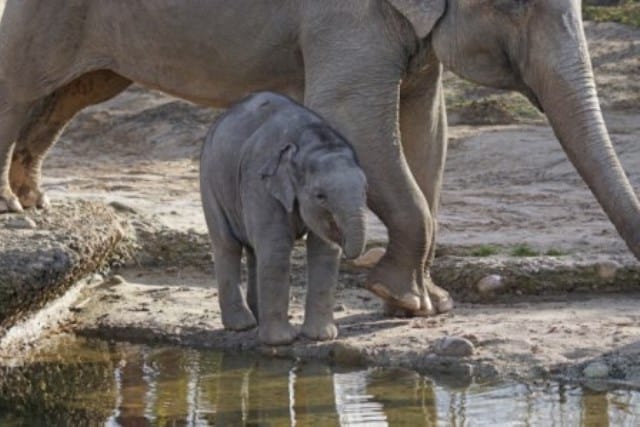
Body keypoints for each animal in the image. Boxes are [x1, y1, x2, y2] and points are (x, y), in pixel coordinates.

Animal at [1, 0, 640, 314]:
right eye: (513, 5)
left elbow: (427, 128)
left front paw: (427, 305)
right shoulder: (347, 17)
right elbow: (354, 116)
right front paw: (400, 299)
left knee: (74, 91)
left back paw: (36, 201)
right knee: (22, 86)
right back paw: (13, 210)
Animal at [200, 92, 370, 346]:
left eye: (365, 192)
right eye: (320, 196)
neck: (307, 140)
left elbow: (324, 251)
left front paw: (321, 337)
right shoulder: (260, 182)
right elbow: (276, 248)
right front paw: (281, 341)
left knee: (254, 250)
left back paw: (257, 318)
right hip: (210, 181)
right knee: (227, 244)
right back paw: (242, 325)